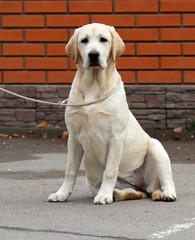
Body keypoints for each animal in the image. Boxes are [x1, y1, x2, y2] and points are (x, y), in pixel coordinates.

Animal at [47, 23, 177, 204]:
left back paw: (167, 193)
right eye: (84, 40)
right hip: (91, 180)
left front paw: (104, 195)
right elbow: (70, 170)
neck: (93, 85)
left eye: (103, 40)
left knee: (167, 181)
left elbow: (110, 170)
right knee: (132, 192)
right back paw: (116, 193)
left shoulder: (115, 136)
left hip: (155, 146)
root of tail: (141, 185)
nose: (93, 54)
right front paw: (62, 193)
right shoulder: (73, 137)